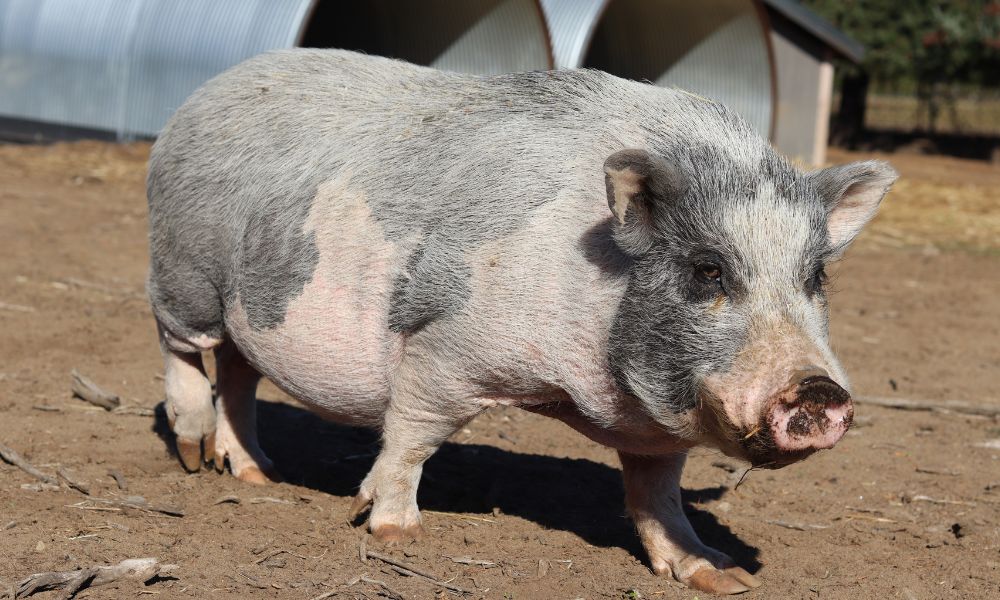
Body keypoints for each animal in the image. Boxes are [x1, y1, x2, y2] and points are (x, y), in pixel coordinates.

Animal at [146, 49, 896, 594]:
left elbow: (658, 496)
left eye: (815, 277)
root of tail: (201, 96)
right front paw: (394, 533)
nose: (820, 390)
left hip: (245, 312)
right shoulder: (443, 344)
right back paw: (192, 458)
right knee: (181, 347)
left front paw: (721, 575)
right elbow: (411, 436)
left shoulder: (655, 430)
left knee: (238, 373)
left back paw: (254, 477)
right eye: (708, 271)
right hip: (182, 271)